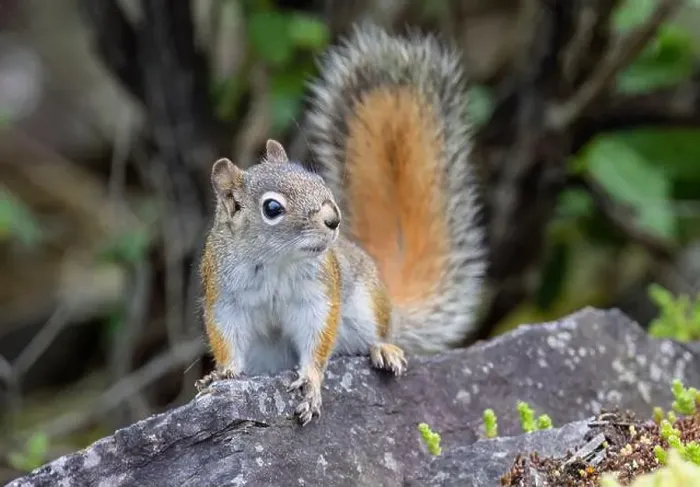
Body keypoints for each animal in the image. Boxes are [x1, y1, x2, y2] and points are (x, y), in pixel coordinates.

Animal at [195, 24, 486, 426]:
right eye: (272, 208)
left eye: (318, 181)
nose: (333, 219)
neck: (275, 261)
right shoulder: (225, 297)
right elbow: (227, 337)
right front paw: (222, 374)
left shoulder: (319, 294)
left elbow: (317, 337)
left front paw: (311, 381)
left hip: (366, 306)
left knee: (378, 333)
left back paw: (385, 348)